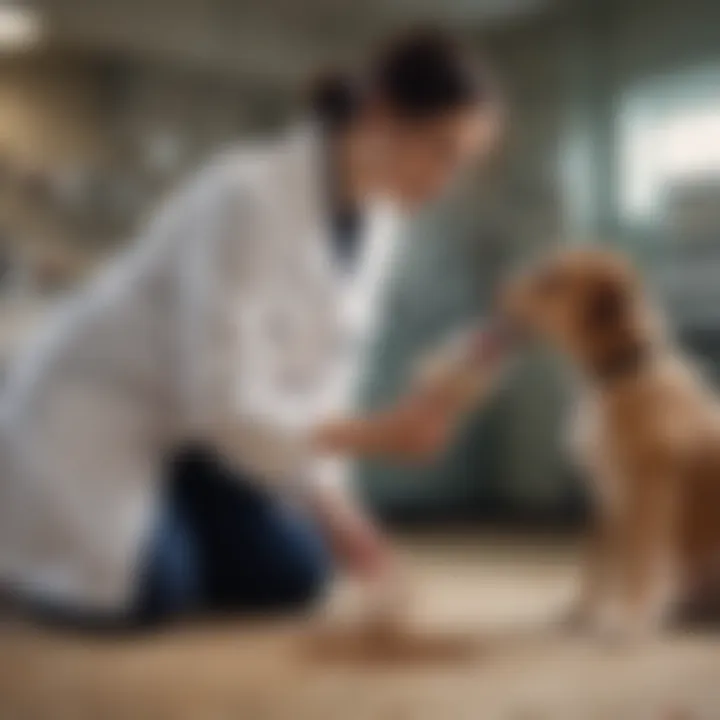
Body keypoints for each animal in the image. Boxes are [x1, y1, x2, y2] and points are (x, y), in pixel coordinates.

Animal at [504, 246, 720, 636]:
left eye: (549, 280)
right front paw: (580, 613)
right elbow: (597, 565)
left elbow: (640, 565)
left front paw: (631, 619)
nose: (499, 288)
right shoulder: (608, 499)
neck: (620, 373)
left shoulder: (651, 495)